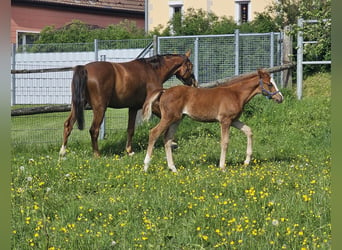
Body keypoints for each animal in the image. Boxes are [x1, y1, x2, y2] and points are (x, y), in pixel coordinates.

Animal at [142, 69, 284, 173]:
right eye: (270, 84)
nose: (280, 98)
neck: (236, 94)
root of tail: (165, 91)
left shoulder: (234, 120)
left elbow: (249, 131)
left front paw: (246, 162)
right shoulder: (225, 121)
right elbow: (225, 142)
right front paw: (222, 167)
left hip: (177, 119)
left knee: (167, 138)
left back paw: (173, 168)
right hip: (168, 118)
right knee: (153, 133)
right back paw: (146, 166)